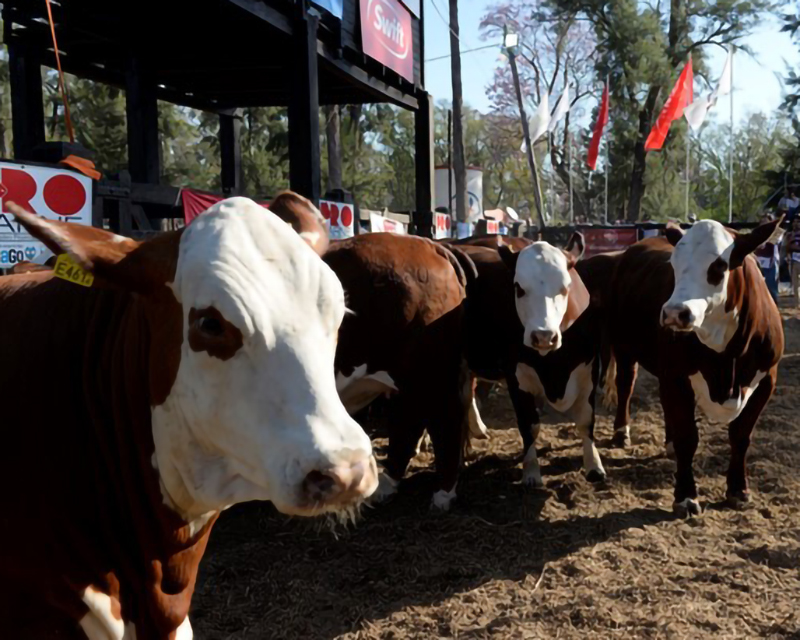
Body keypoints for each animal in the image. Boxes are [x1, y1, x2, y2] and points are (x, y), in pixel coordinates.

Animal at [324, 234, 476, 510]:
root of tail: (431, 244)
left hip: (429, 374)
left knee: (441, 420)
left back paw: (443, 493)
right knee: (408, 421)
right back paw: (388, 483)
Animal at [450, 235, 608, 484]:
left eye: (565, 287)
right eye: (519, 288)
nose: (543, 336)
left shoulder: (588, 371)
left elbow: (585, 420)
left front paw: (594, 465)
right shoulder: (516, 376)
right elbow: (529, 425)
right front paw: (531, 471)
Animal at [608, 219, 780, 516]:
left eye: (719, 267)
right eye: (674, 265)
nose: (674, 313)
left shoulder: (767, 379)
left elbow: (740, 435)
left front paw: (738, 490)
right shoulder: (677, 375)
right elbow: (687, 437)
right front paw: (686, 496)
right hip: (624, 345)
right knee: (626, 385)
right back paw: (621, 433)